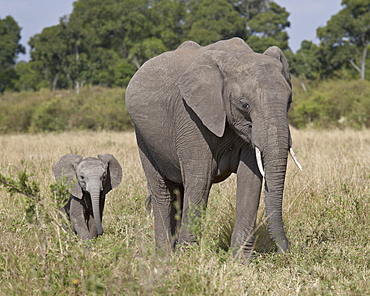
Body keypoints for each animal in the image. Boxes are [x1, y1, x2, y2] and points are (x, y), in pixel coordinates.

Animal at [125, 37, 302, 262]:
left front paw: (240, 261)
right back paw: (164, 257)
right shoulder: (190, 116)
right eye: (244, 105)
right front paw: (188, 259)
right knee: (163, 192)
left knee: (178, 191)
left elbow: (251, 180)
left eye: (289, 102)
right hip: (143, 137)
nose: (284, 252)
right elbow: (200, 178)